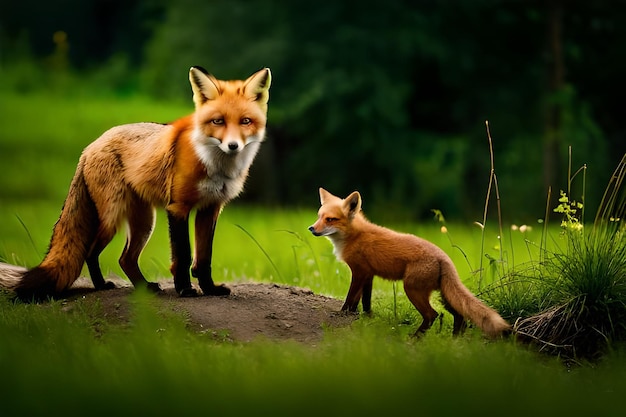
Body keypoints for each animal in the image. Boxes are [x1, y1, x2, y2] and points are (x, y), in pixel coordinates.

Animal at [0, 66, 270, 300]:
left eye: (245, 121)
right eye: (218, 121)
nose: (233, 146)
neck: (214, 165)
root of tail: (89, 147)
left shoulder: (210, 209)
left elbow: (203, 258)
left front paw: (210, 289)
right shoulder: (178, 207)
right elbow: (183, 255)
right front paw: (185, 289)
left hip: (144, 222)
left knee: (125, 259)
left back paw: (144, 287)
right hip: (112, 218)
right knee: (91, 252)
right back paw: (101, 285)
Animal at [308, 187, 508, 336]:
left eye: (330, 219)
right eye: (319, 217)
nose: (311, 228)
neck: (354, 236)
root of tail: (444, 257)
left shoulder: (359, 272)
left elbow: (351, 297)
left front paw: (342, 314)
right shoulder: (368, 274)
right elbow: (363, 301)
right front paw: (363, 316)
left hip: (412, 289)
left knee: (432, 315)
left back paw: (415, 338)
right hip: (444, 295)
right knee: (460, 316)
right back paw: (454, 340)